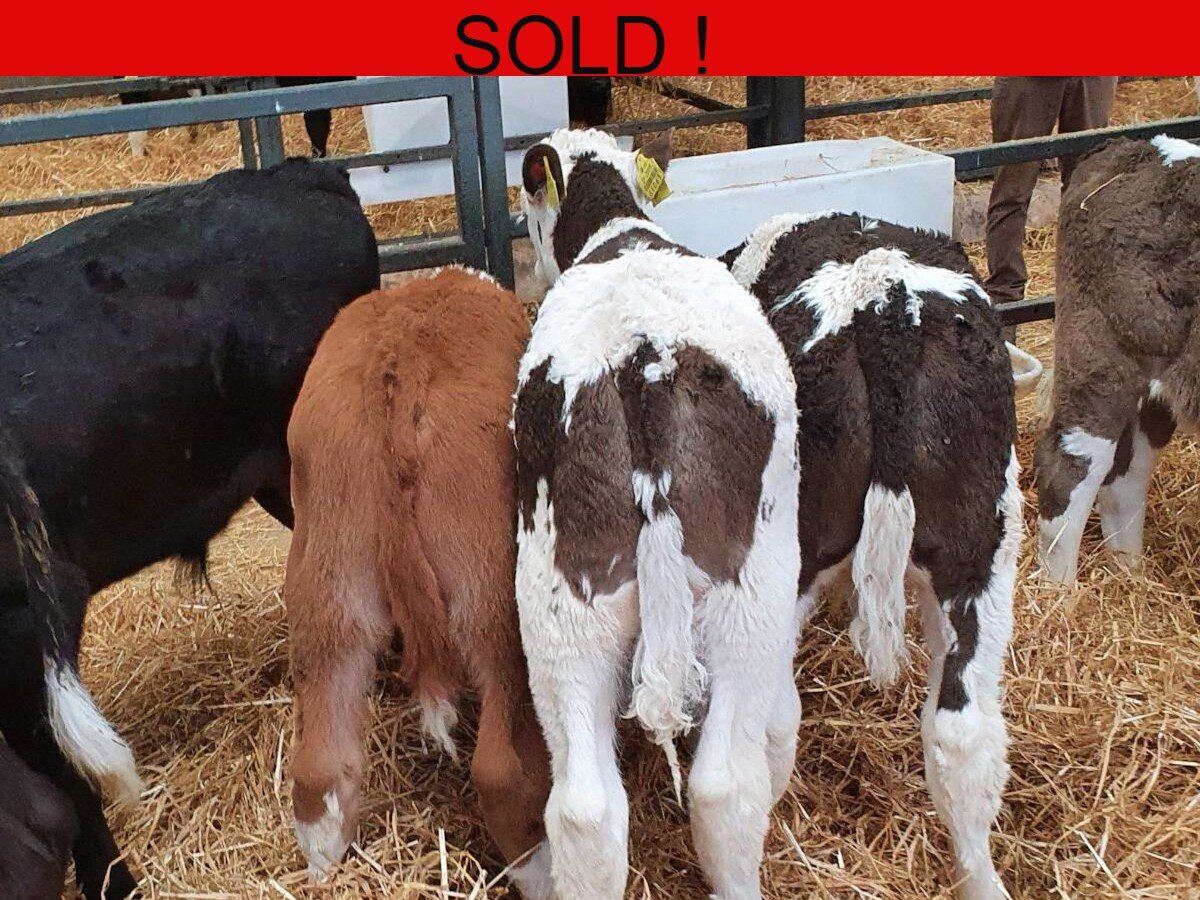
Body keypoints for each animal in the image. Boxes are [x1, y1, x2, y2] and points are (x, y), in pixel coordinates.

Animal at [283, 268, 553, 897]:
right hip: (492, 596)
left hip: (327, 584)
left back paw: (325, 867)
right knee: (503, 769)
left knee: (319, 767)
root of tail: (398, 363)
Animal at [721, 211, 1021, 900]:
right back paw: (979, 876)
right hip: (980, 549)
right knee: (963, 730)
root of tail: (886, 305)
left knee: (771, 721)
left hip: (789, 554)